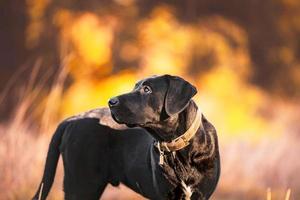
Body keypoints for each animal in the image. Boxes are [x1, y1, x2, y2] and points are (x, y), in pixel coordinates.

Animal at [32, 74, 220, 199]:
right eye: (135, 87)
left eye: (147, 89)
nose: (111, 101)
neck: (177, 146)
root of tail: (71, 119)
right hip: (81, 183)